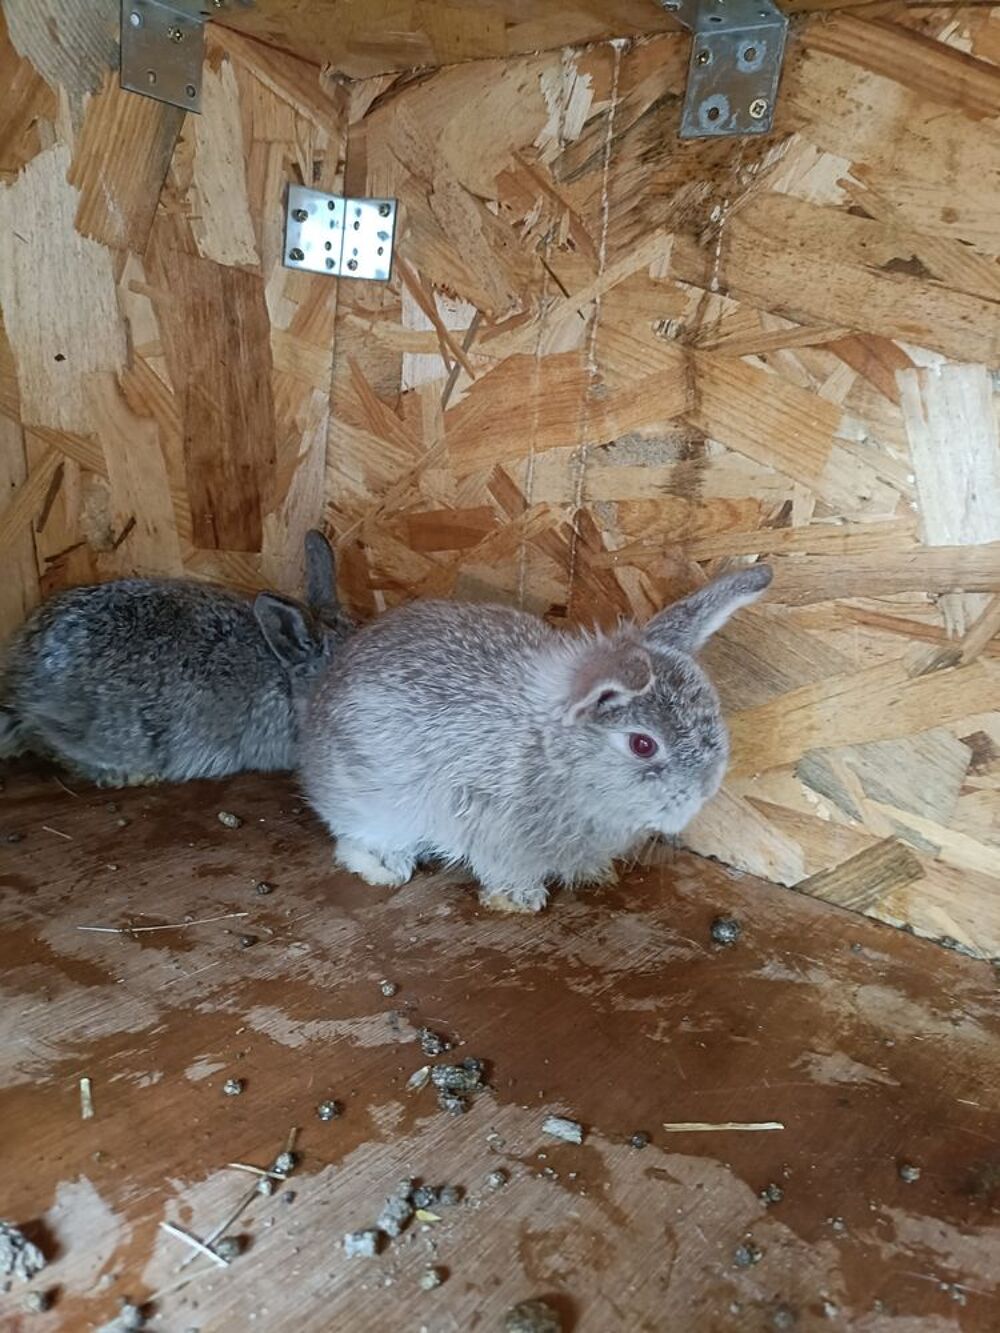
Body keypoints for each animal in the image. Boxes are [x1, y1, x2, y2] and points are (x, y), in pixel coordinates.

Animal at [299, 563, 773, 912]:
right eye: (643, 744)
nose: (704, 792)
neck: (555, 755)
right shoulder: (487, 823)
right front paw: (521, 899)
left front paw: (595, 873)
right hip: (375, 807)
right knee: (353, 841)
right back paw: (386, 867)